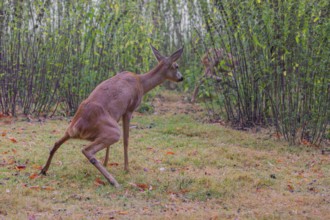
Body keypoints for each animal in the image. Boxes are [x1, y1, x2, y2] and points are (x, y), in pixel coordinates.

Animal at [40, 44, 184, 187]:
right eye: (176, 66)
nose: (181, 78)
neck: (141, 83)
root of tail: (78, 127)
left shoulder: (116, 114)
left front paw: (106, 162)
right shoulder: (129, 109)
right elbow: (126, 140)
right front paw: (126, 168)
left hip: (72, 130)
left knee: (55, 143)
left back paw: (44, 170)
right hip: (113, 131)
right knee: (86, 150)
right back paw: (113, 181)